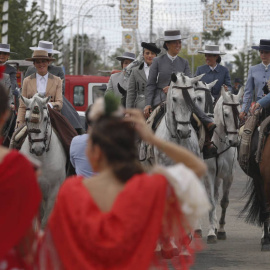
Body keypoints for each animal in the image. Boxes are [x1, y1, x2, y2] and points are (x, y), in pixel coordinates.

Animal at [20, 94, 66, 227]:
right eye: (26, 119)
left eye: (45, 118)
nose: (38, 149)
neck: (42, 160)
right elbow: (37, 217)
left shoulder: (54, 191)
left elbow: (46, 220)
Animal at [194, 86, 245, 243]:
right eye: (226, 114)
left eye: (240, 112)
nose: (234, 141)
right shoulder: (209, 174)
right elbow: (210, 201)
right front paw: (211, 233)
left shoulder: (229, 176)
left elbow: (224, 201)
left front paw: (221, 230)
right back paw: (197, 229)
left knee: (216, 195)